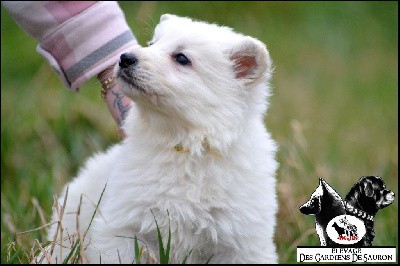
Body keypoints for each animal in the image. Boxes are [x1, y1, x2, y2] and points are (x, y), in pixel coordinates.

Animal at [39, 13, 280, 262]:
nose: (125, 57)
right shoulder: (124, 227)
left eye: (181, 58)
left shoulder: (241, 242)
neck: (185, 145)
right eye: (152, 44)